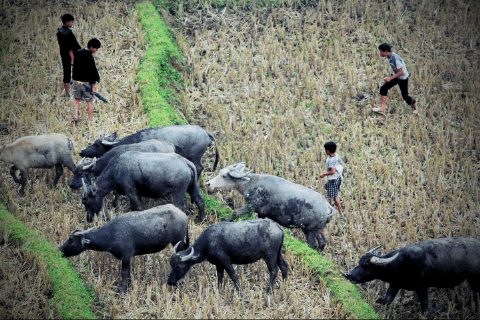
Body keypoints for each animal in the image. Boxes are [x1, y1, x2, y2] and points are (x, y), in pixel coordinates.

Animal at [58, 205, 189, 292]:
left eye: (71, 240)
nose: (60, 249)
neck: (111, 234)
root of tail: (183, 215)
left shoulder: (126, 256)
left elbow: (124, 273)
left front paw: (121, 289)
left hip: (178, 242)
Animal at [205, 164, 334, 251]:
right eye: (220, 171)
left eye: (224, 175)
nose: (208, 184)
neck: (253, 183)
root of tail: (327, 207)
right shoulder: (261, 214)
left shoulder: (251, 206)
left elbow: (235, 213)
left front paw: (223, 221)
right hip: (319, 229)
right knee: (323, 243)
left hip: (309, 231)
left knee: (313, 245)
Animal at [344, 238, 480, 312]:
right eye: (359, 262)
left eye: (366, 265)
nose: (348, 275)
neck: (401, 263)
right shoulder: (395, 284)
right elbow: (387, 299)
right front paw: (379, 301)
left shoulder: (422, 288)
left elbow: (425, 305)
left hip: (473, 279)